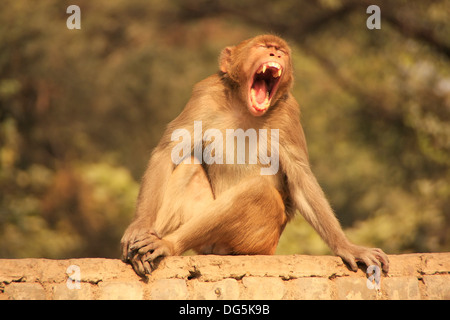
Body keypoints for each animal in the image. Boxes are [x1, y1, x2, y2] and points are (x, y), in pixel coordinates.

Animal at [121, 34, 388, 276]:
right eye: (262, 46)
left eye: (281, 51)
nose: (274, 54)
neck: (244, 107)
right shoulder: (205, 94)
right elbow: (168, 151)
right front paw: (140, 227)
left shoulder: (288, 113)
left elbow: (300, 180)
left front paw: (347, 247)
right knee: (190, 166)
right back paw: (149, 246)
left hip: (259, 239)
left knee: (256, 191)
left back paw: (167, 245)